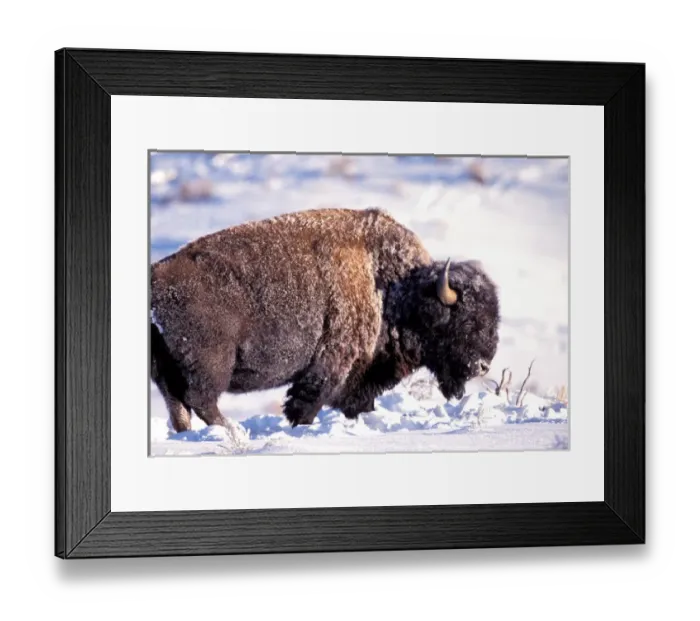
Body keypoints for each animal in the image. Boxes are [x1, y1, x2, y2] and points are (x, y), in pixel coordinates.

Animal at [151, 207, 500, 432]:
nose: (483, 366)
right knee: (200, 400)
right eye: (466, 321)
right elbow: (306, 404)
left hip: (166, 370)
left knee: (178, 407)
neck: (393, 289)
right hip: (212, 365)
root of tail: (156, 280)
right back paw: (233, 432)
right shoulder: (331, 364)